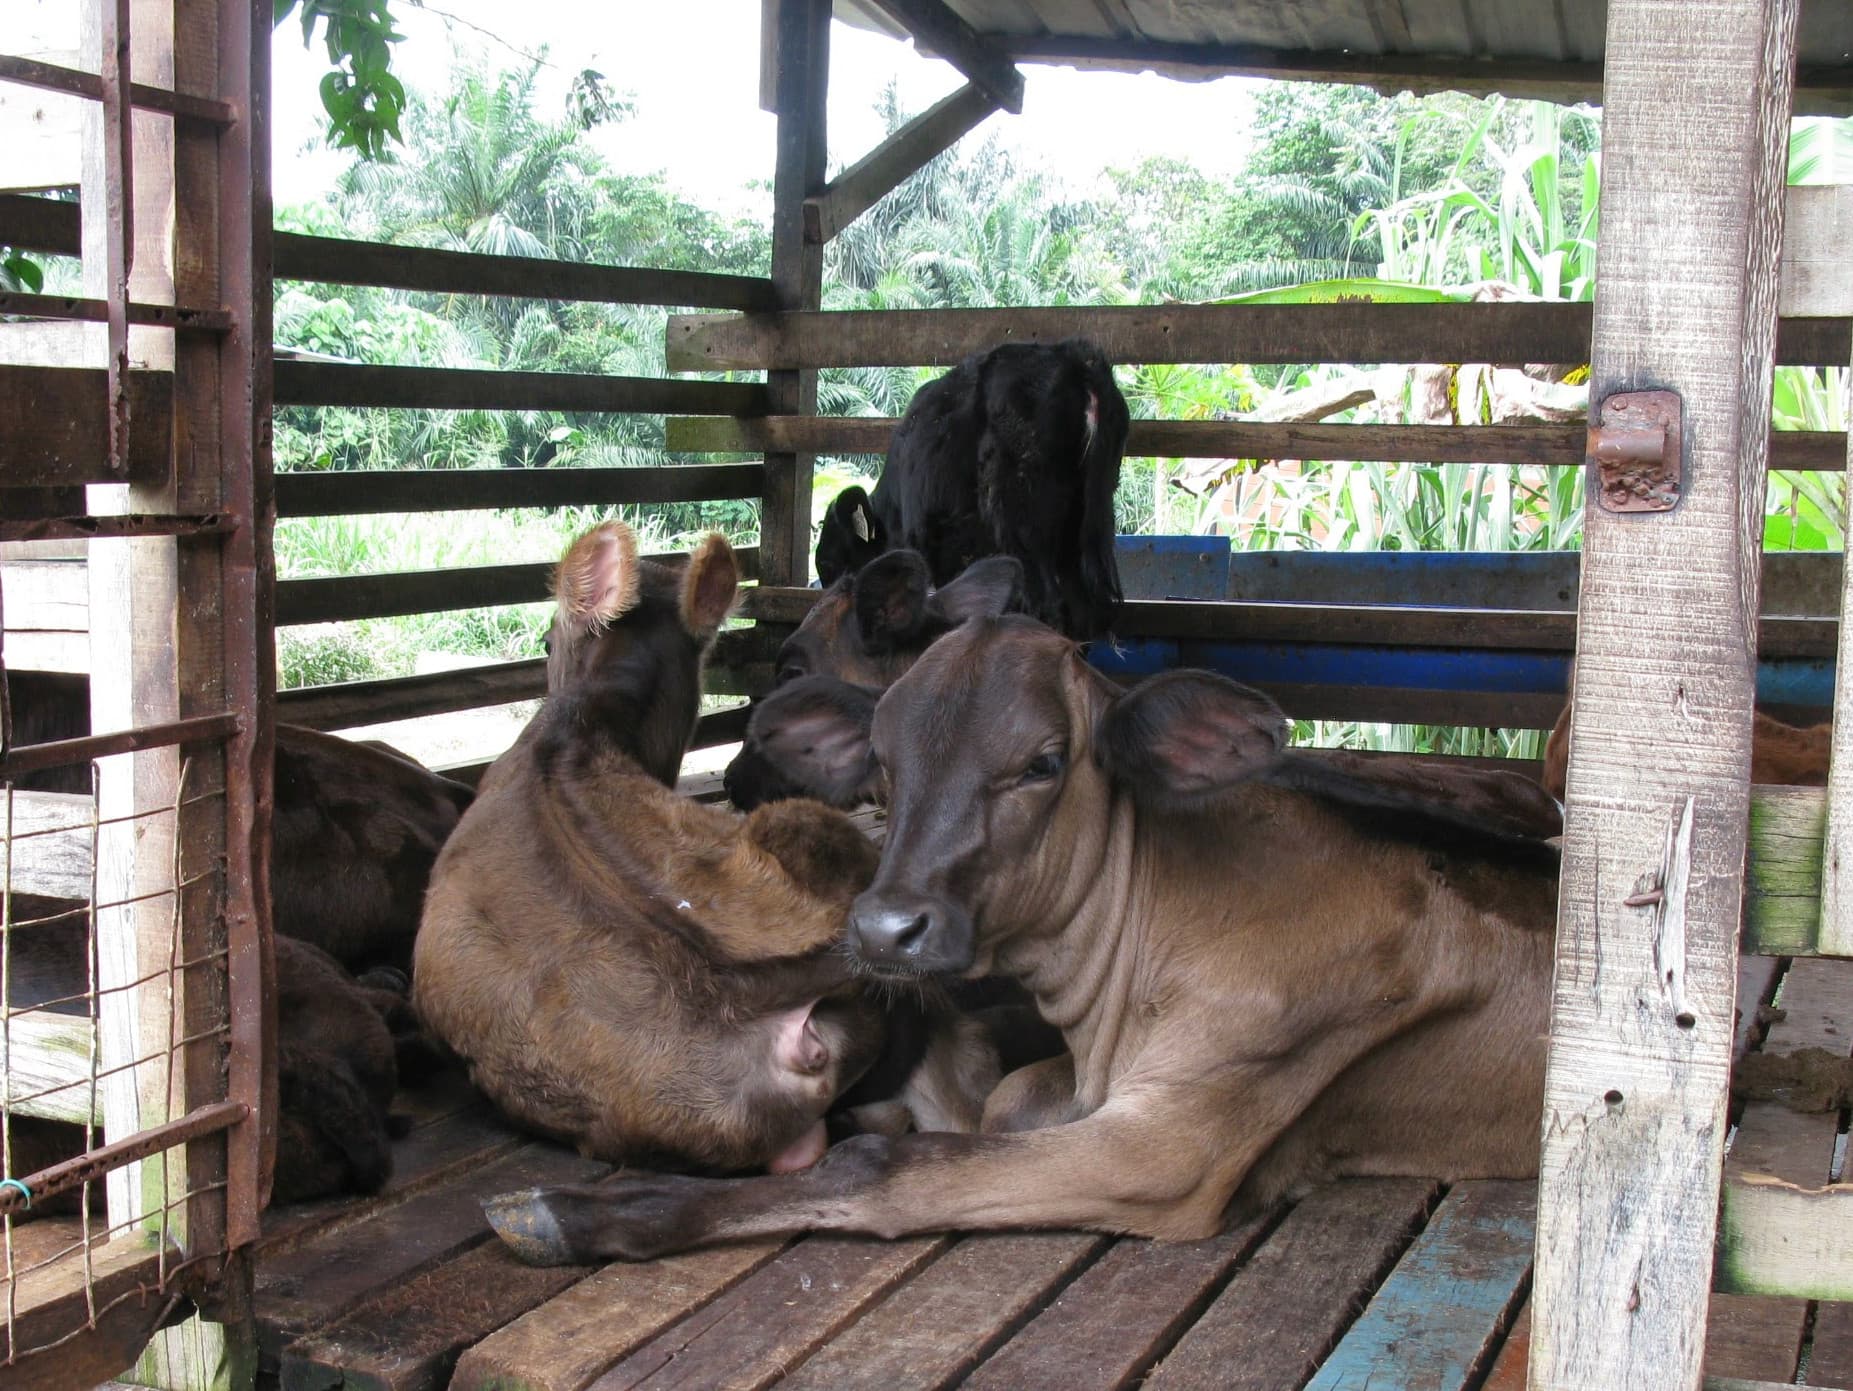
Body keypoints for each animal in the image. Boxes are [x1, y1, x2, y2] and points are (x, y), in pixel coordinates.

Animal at [480, 616, 1560, 1264]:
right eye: (880, 762)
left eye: (1042, 761)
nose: (884, 926)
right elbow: (997, 1103)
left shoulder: (1172, 1141)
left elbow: (883, 1172)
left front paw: (588, 1211)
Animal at [814, 339, 1130, 639]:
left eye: (828, 565)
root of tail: (1074, 356)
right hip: (1080, 529)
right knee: (1085, 611)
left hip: (1021, 520)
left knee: (1048, 605)